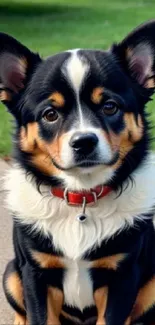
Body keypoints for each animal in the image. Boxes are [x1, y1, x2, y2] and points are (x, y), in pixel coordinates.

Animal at [2, 20, 155, 324]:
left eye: (109, 106)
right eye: (50, 114)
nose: (84, 142)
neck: (81, 197)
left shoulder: (122, 275)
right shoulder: (35, 274)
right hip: (11, 273)